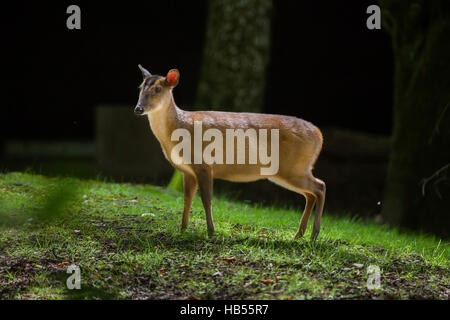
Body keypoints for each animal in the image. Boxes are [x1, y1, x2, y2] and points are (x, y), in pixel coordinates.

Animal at [135, 65, 326, 240]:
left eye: (158, 89)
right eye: (140, 87)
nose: (138, 108)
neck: (178, 128)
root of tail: (319, 134)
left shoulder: (204, 164)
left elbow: (206, 199)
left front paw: (211, 232)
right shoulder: (186, 170)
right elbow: (187, 199)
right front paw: (182, 230)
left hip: (293, 167)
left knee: (320, 186)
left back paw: (314, 234)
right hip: (290, 170)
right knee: (310, 194)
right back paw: (299, 234)